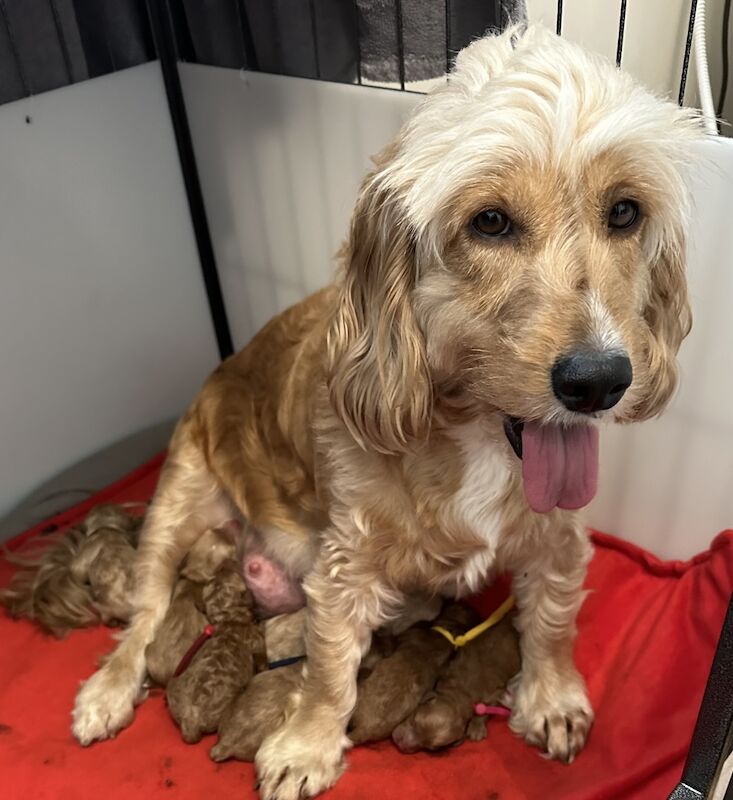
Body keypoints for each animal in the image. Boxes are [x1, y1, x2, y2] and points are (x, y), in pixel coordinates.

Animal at [166, 564, 266, 744]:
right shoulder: (258, 644)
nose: (223, 566)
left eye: (213, 578)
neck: (228, 618)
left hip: (173, 685)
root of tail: (191, 721)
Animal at [392, 616, 516, 752]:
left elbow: (485, 710)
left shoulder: (495, 693)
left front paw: (476, 728)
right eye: (414, 720)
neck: (459, 693)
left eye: (430, 747)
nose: (399, 744)